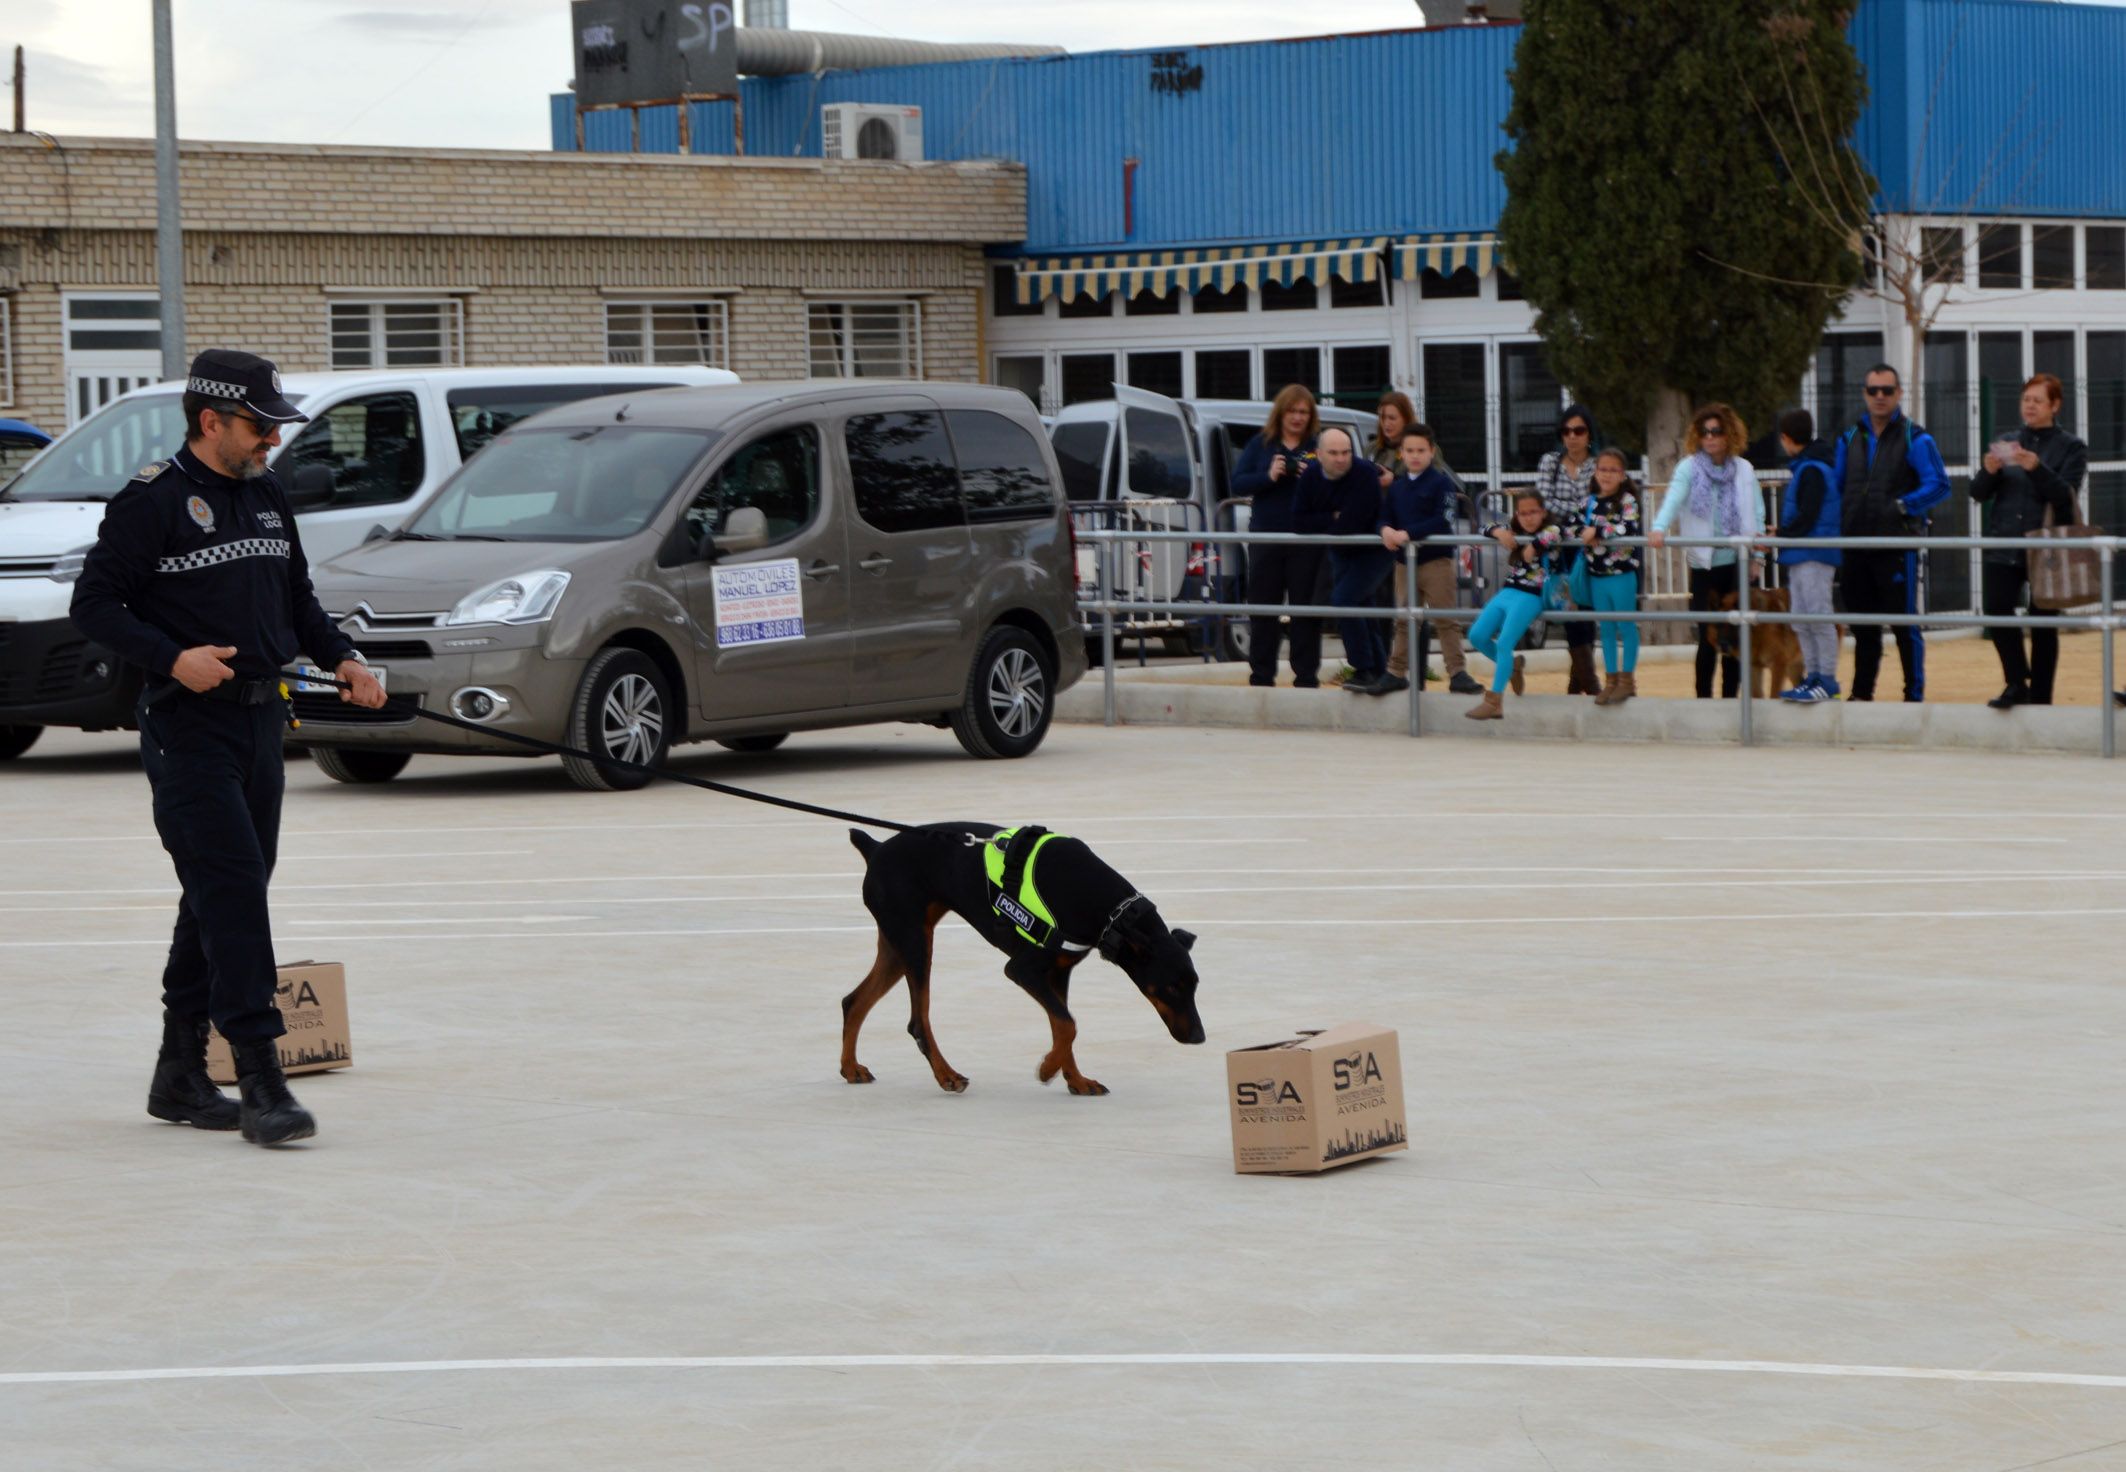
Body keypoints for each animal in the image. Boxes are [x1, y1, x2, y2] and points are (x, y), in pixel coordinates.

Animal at [846, 821, 1216, 1097]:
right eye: (1170, 988)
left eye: (1195, 986)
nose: (1199, 1037)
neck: (1112, 911)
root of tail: (876, 848)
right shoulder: (1023, 969)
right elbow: (1068, 1025)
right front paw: (1048, 1068)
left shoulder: (1059, 972)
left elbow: (1061, 1026)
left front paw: (1076, 1080)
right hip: (915, 943)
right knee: (917, 1020)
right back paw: (947, 1075)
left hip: (899, 944)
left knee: (852, 1001)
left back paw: (851, 1069)